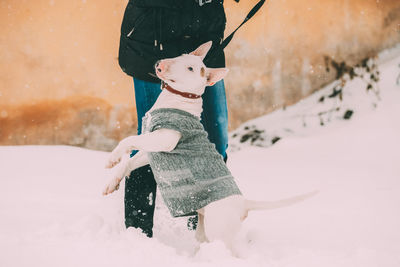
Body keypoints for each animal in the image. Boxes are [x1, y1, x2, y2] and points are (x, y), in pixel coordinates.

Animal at [104, 42, 318, 255]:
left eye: (191, 68)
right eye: (181, 55)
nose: (159, 64)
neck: (178, 99)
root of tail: (243, 204)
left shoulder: (166, 138)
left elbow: (129, 139)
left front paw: (112, 157)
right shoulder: (152, 149)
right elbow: (131, 160)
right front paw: (112, 181)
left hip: (218, 227)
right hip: (204, 226)